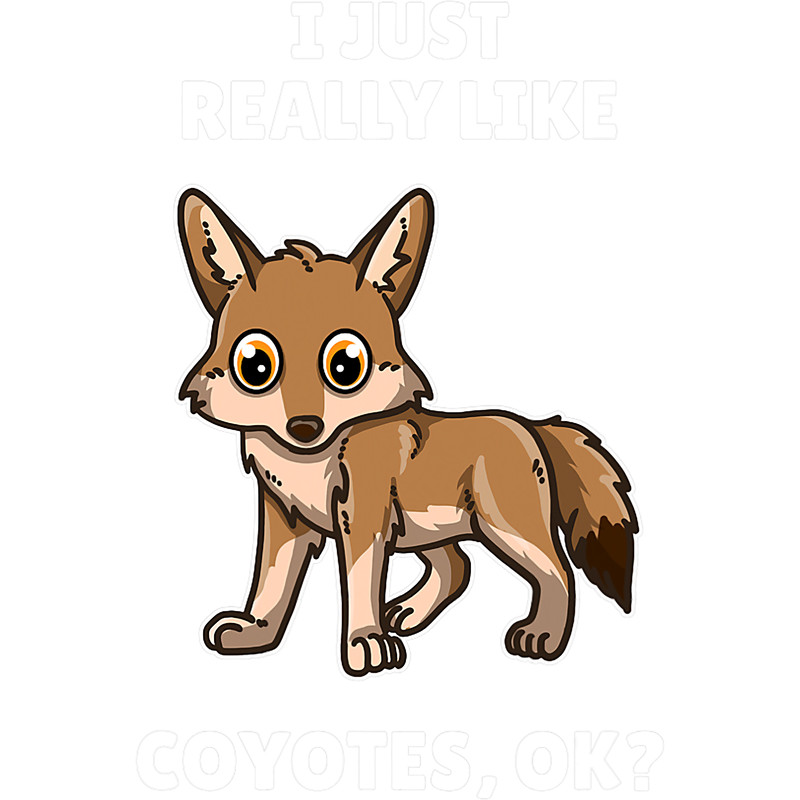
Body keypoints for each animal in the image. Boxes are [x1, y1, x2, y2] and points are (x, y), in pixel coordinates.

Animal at [178, 187, 638, 676]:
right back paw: (410, 613)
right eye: (255, 366)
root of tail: (530, 424)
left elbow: (358, 582)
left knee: (558, 572)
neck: (307, 462)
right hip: (428, 528)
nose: (304, 426)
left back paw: (542, 635)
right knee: (458, 566)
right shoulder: (286, 515)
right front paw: (256, 633)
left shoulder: (362, 516)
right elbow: (271, 585)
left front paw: (364, 642)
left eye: (346, 366)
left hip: (505, 529)